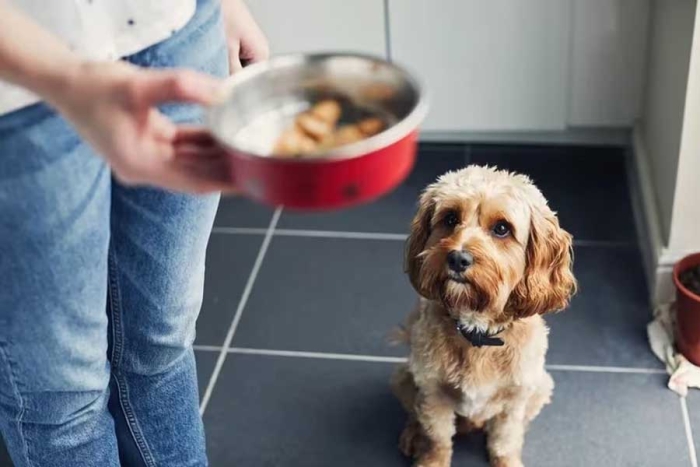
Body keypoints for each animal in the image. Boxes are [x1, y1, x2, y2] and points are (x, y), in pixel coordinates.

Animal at [392, 166, 576, 467]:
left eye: (502, 228)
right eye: (450, 218)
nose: (457, 258)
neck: (478, 333)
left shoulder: (516, 398)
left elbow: (505, 440)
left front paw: (507, 460)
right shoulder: (433, 392)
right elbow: (437, 438)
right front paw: (431, 459)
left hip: (541, 387)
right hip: (404, 377)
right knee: (414, 413)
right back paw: (412, 434)